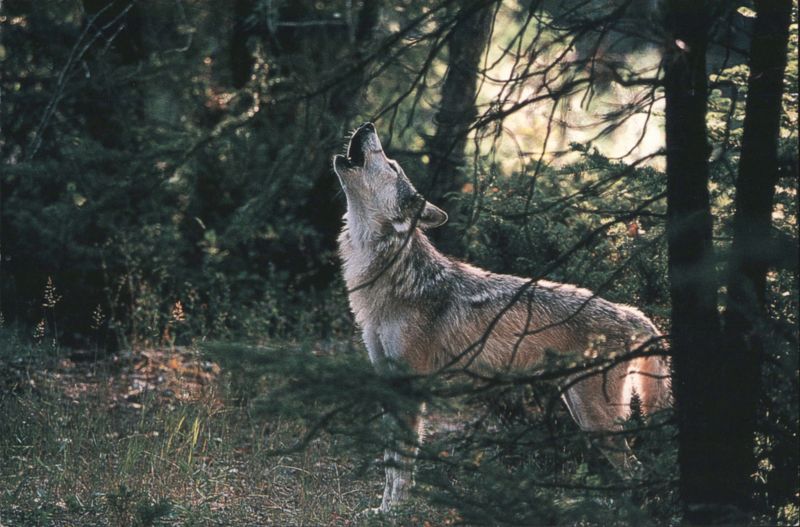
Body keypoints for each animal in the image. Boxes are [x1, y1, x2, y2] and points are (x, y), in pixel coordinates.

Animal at [333, 122, 671, 514]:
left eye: (391, 164)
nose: (367, 125)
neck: (388, 274)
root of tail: (633, 313)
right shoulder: (388, 381)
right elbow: (390, 461)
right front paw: (383, 508)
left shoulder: (411, 386)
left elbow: (402, 464)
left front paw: (395, 512)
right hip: (582, 410)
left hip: (594, 420)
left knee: (636, 469)